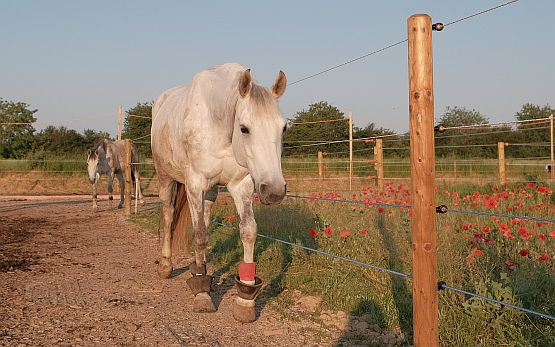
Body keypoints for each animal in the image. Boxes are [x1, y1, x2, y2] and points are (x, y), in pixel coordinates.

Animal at [152, 62, 288, 324]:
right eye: (244, 128)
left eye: (283, 127)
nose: (274, 190)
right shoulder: (194, 183)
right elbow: (199, 236)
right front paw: (202, 293)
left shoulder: (241, 185)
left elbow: (248, 231)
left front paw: (245, 297)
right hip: (166, 177)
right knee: (168, 214)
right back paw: (166, 265)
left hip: (211, 190)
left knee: (204, 216)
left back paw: (199, 267)